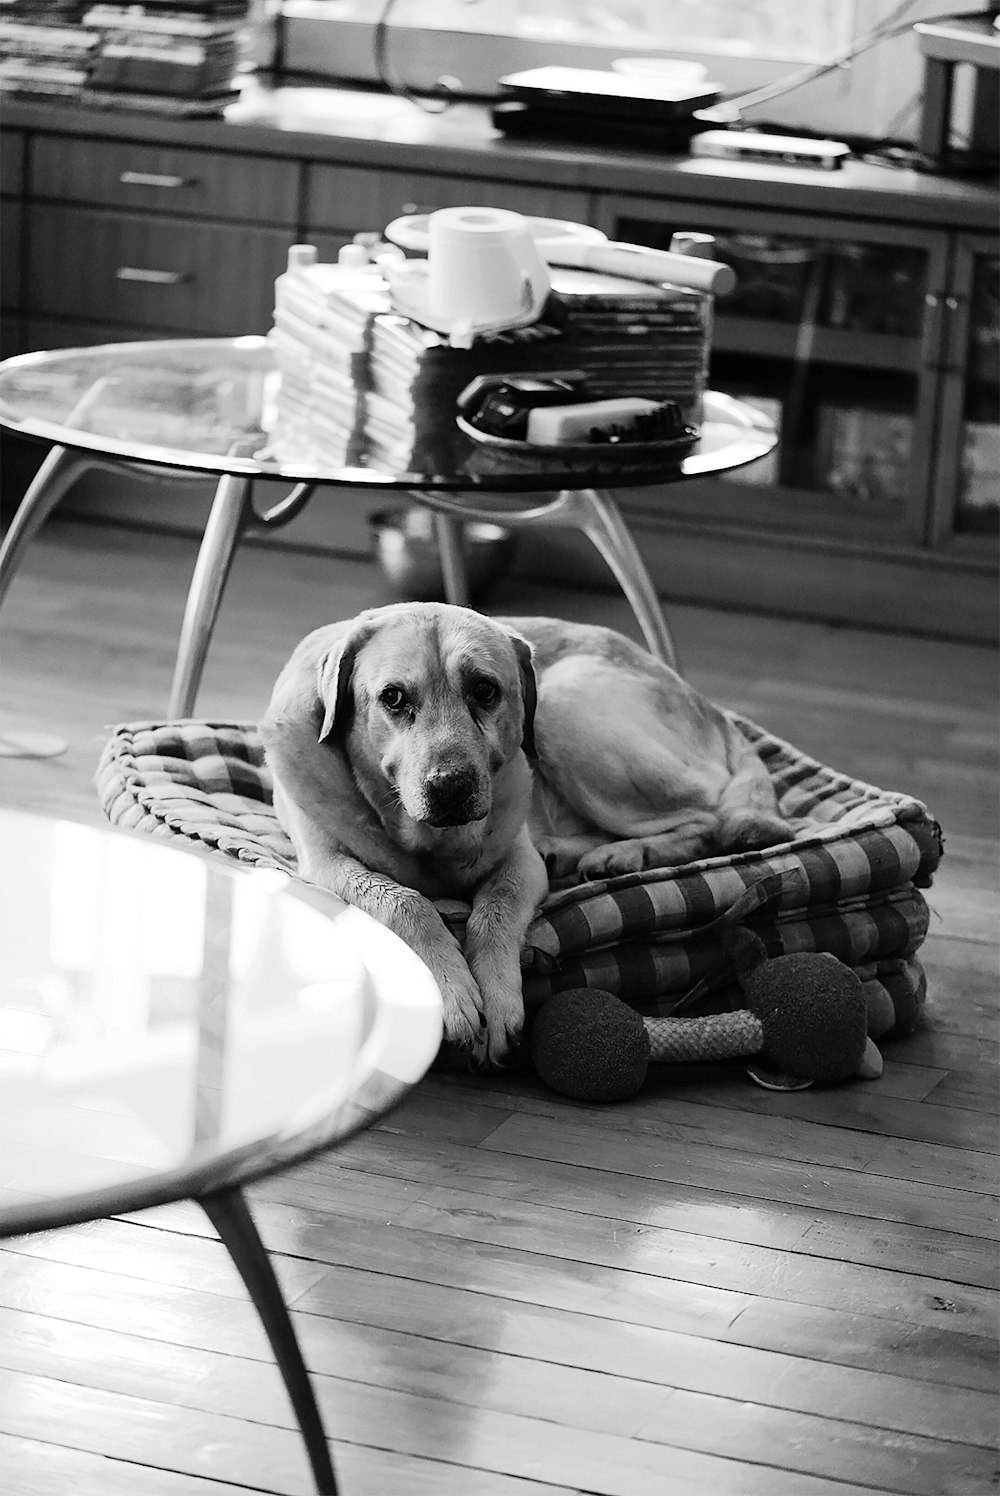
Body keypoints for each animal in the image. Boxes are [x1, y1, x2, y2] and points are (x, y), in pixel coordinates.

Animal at [261, 604, 790, 1065]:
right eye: (393, 698)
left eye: (484, 690)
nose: (451, 787)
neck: (429, 844)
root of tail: (713, 709)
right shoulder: (327, 864)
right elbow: (405, 903)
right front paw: (451, 990)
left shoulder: (519, 861)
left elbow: (494, 911)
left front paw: (495, 999)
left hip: (563, 705)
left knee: (708, 817)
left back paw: (627, 853)